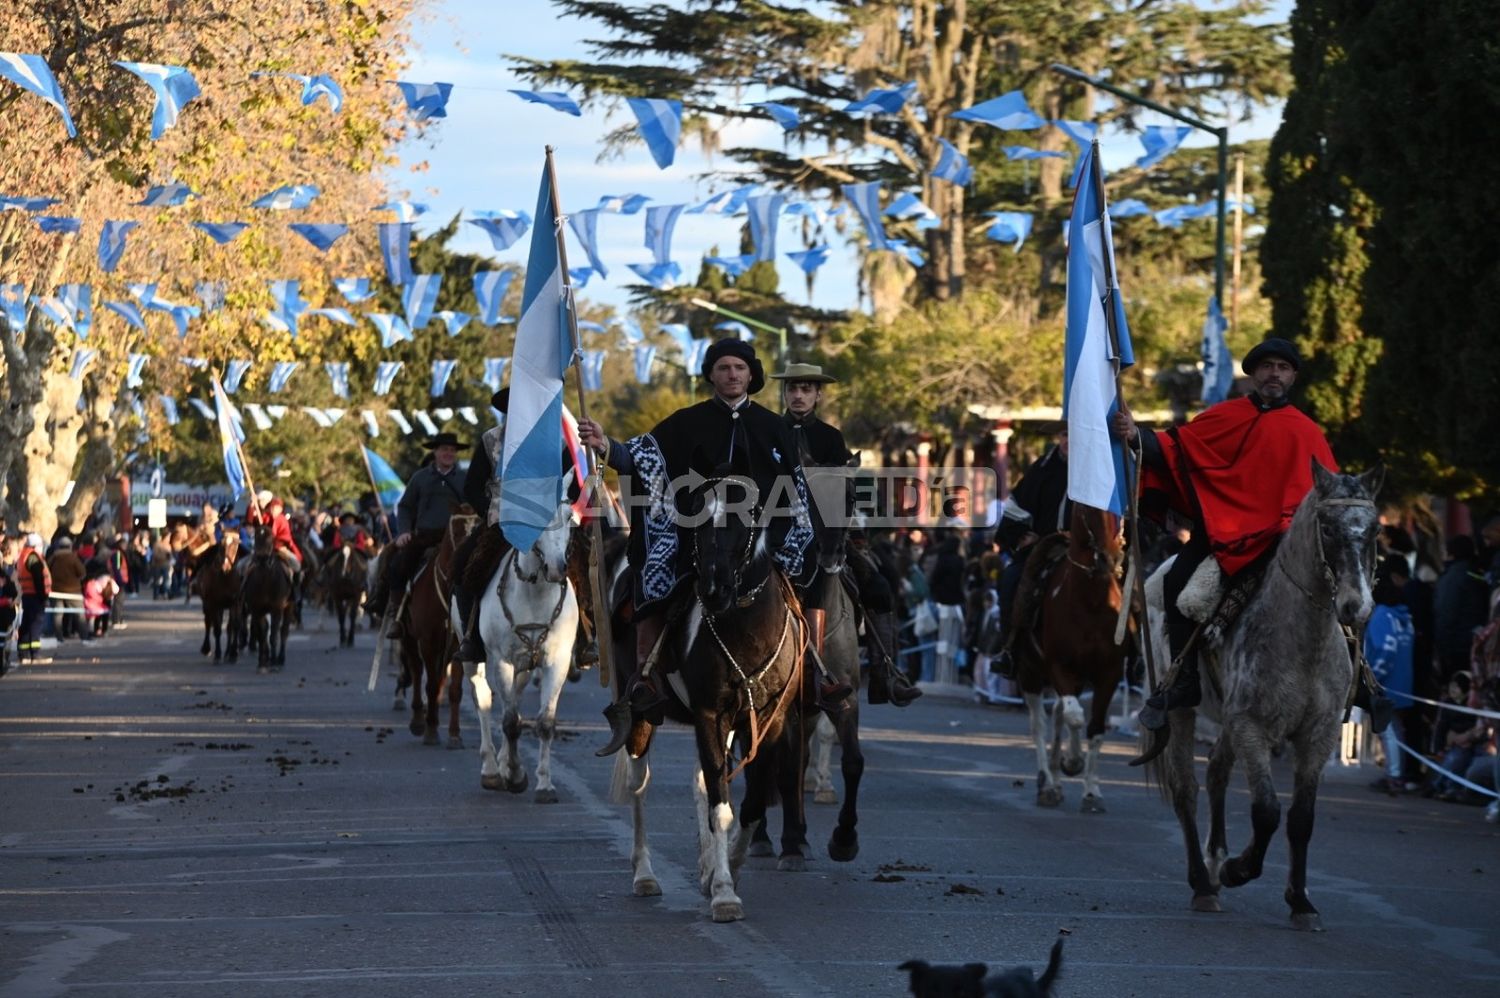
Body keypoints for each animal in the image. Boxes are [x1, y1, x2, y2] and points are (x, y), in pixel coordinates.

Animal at [453, 498, 576, 804]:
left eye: (570, 516)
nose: (557, 568)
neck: (535, 593)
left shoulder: (557, 662)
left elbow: (544, 723)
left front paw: (544, 785)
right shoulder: (501, 661)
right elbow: (509, 722)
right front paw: (516, 776)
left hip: (524, 667)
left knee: (515, 700)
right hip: (475, 659)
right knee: (483, 700)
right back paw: (492, 769)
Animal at [1020, 507, 1128, 810]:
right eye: (1088, 510)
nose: (1109, 557)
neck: (1091, 601)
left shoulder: (1109, 673)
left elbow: (1095, 727)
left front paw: (1091, 791)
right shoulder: (1059, 667)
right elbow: (1075, 717)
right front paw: (1072, 761)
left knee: (1057, 714)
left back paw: (1057, 779)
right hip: (1030, 673)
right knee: (1040, 724)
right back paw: (1047, 782)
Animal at [1146, 459, 1380, 924]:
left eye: (1374, 529)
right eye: (1328, 528)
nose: (1356, 607)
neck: (1303, 639)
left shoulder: (1318, 733)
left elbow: (1301, 817)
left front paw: (1301, 901)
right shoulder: (1252, 727)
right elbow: (1267, 811)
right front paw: (1239, 870)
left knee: (1217, 772)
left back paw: (1215, 859)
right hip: (1185, 711)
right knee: (1186, 789)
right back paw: (1204, 882)